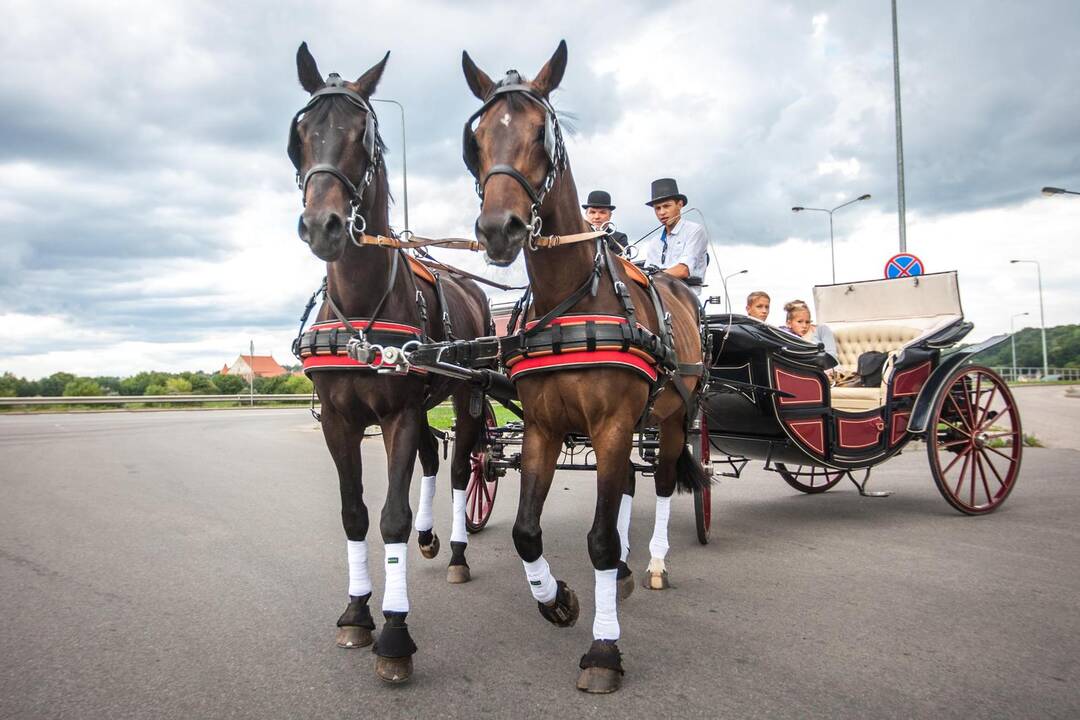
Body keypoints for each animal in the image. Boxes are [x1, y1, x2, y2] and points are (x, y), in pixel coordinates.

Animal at [289, 42, 488, 686]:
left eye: (365, 136)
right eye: (301, 134)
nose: (323, 226)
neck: (360, 306)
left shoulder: (399, 412)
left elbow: (392, 518)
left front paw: (396, 633)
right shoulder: (340, 419)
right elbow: (354, 514)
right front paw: (357, 611)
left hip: (463, 398)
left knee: (458, 471)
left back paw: (454, 550)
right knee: (429, 457)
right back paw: (430, 539)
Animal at [462, 42, 708, 695]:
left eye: (542, 134)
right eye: (476, 140)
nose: (499, 230)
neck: (572, 296)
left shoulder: (616, 423)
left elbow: (598, 537)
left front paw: (603, 649)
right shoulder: (545, 429)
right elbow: (526, 530)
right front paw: (558, 600)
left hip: (673, 418)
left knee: (665, 482)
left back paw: (651, 562)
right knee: (622, 485)